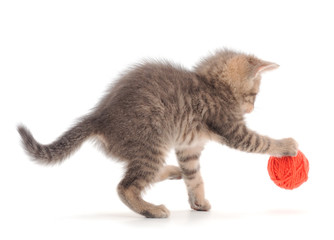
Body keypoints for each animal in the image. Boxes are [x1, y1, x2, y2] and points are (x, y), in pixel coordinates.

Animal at [17, 48, 298, 218]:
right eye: (254, 95)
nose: (250, 107)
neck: (212, 85)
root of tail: (99, 116)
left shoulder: (188, 147)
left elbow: (194, 176)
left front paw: (198, 202)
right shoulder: (231, 129)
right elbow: (260, 142)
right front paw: (286, 144)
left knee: (146, 173)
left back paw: (173, 172)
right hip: (152, 143)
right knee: (126, 186)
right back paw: (151, 209)